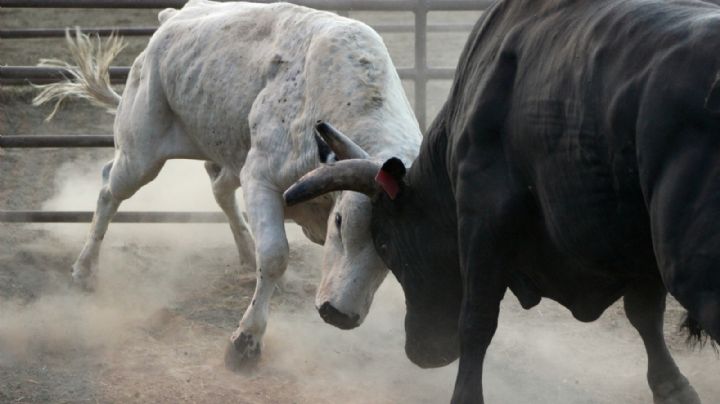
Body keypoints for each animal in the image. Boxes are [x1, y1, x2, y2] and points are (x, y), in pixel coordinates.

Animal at [36, 0, 422, 368]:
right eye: (340, 222)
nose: (338, 314)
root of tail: (171, 18)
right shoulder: (261, 179)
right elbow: (275, 256)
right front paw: (246, 341)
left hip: (225, 152)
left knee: (219, 189)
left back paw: (246, 251)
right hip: (139, 155)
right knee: (108, 190)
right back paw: (85, 270)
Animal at [286, 0, 720, 402]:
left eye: (385, 244)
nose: (421, 351)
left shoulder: (483, 220)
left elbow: (477, 320)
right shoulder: (636, 244)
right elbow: (644, 314)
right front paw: (672, 388)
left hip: (691, 267)